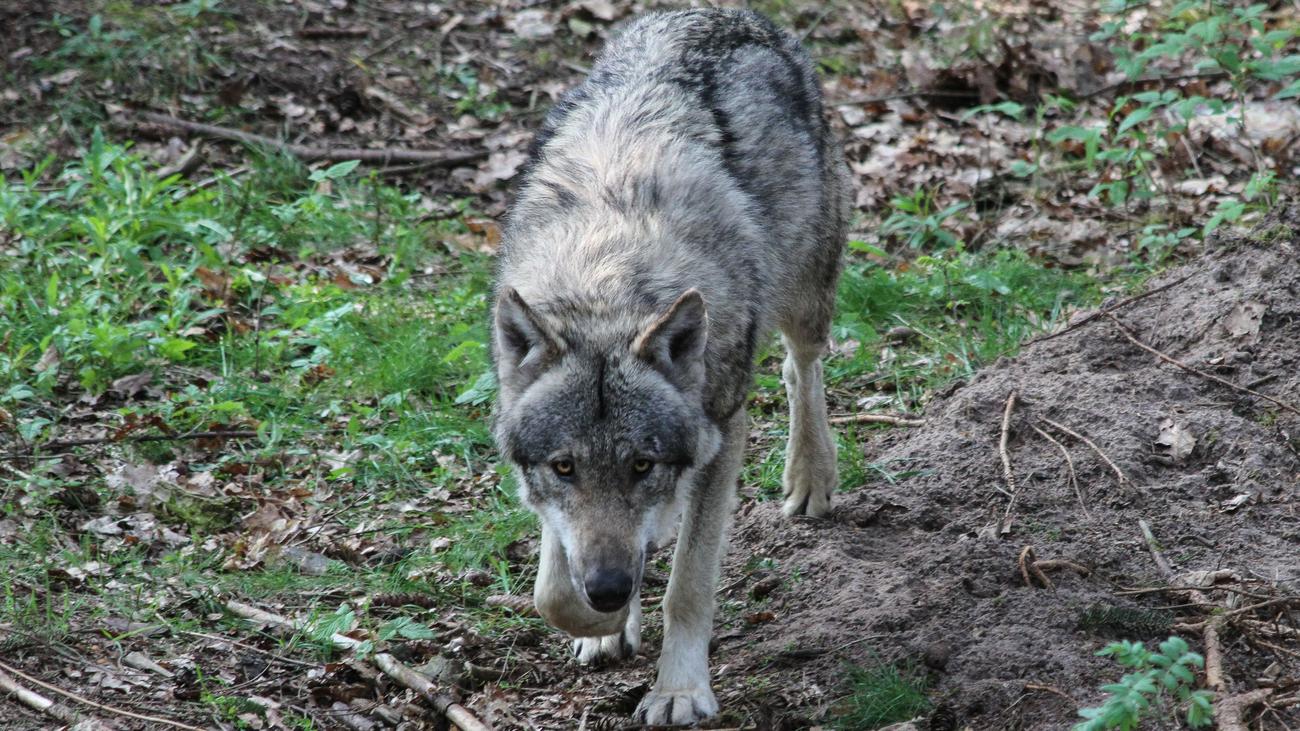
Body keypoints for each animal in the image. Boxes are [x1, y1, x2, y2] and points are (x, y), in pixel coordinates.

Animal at [491, 7, 847, 723]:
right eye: (564, 467)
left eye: (641, 464)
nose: (607, 587)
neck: (606, 276)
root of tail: (725, 12)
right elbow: (552, 589)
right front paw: (605, 622)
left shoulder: (720, 437)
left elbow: (688, 584)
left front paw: (679, 689)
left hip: (803, 293)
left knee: (802, 367)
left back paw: (810, 476)